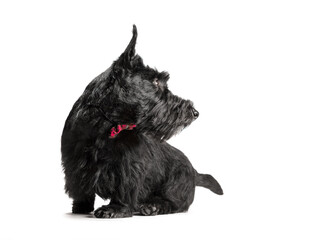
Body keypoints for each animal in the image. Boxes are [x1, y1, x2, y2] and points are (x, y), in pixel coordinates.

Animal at [61, 24, 224, 218]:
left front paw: (115, 208)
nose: (195, 112)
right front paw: (80, 208)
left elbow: (124, 187)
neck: (107, 123)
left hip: (174, 185)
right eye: (155, 81)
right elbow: (81, 190)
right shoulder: (74, 163)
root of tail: (194, 171)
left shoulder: (128, 167)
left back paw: (152, 207)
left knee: (175, 203)